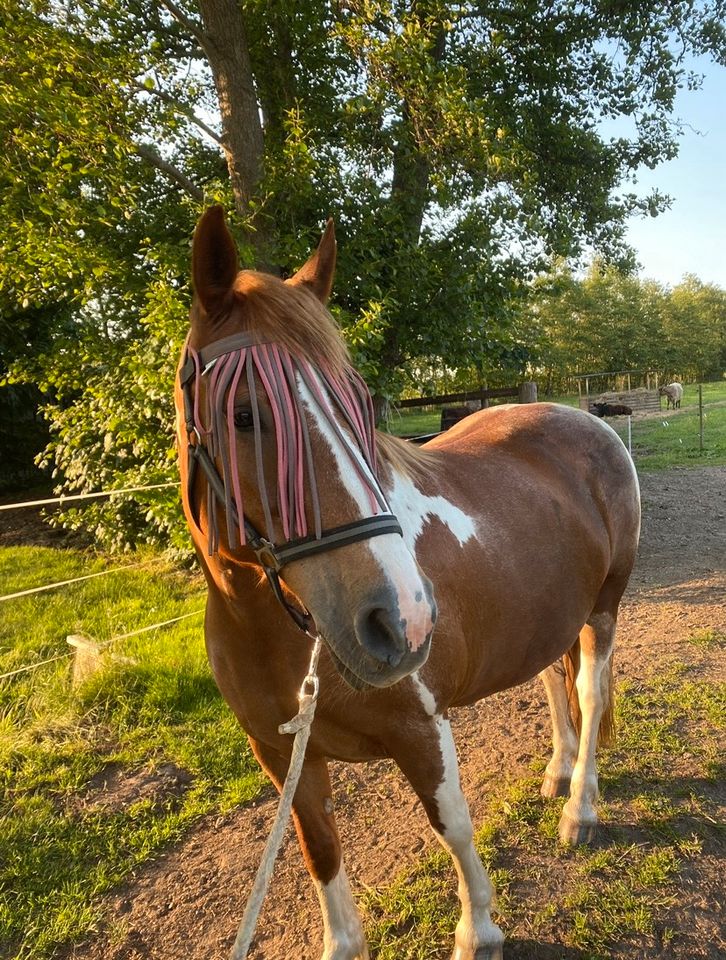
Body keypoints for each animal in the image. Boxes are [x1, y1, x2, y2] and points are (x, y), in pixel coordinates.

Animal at [176, 210, 644, 960]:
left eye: (360, 404)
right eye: (244, 415)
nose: (402, 621)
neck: (277, 631)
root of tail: (585, 418)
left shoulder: (423, 730)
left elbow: (453, 825)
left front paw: (479, 932)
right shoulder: (283, 757)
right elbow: (319, 852)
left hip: (603, 609)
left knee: (591, 692)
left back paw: (581, 808)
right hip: (550, 617)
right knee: (555, 682)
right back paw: (559, 773)